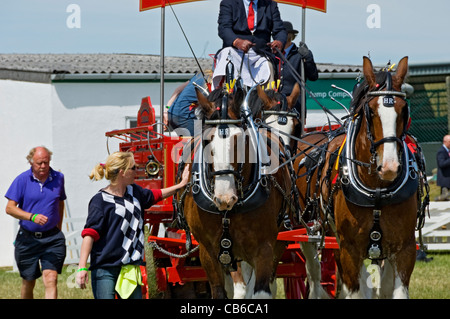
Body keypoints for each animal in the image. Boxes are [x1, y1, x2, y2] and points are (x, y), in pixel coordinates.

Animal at [176, 85, 296, 300]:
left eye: (242, 141)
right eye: (206, 142)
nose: (225, 198)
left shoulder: (264, 248)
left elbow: (259, 290)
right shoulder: (208, 253)